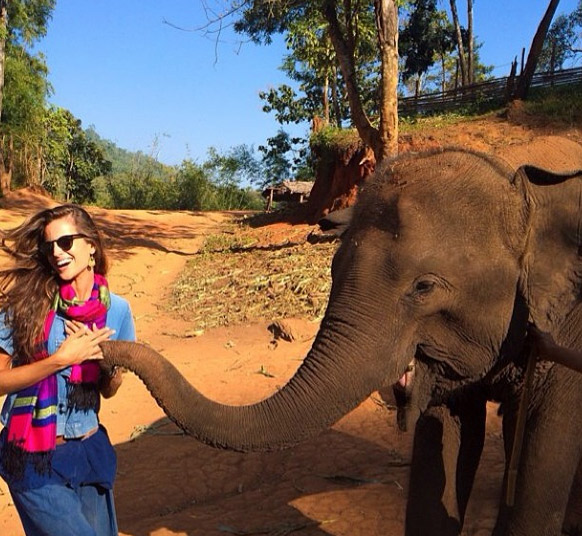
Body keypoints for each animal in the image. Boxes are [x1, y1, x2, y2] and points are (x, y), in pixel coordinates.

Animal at [102, 136, 582, 536]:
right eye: (332, 269)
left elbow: (544, 455)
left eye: (424, 287)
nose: (104, 353)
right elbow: (442, 441)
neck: (527, 192)